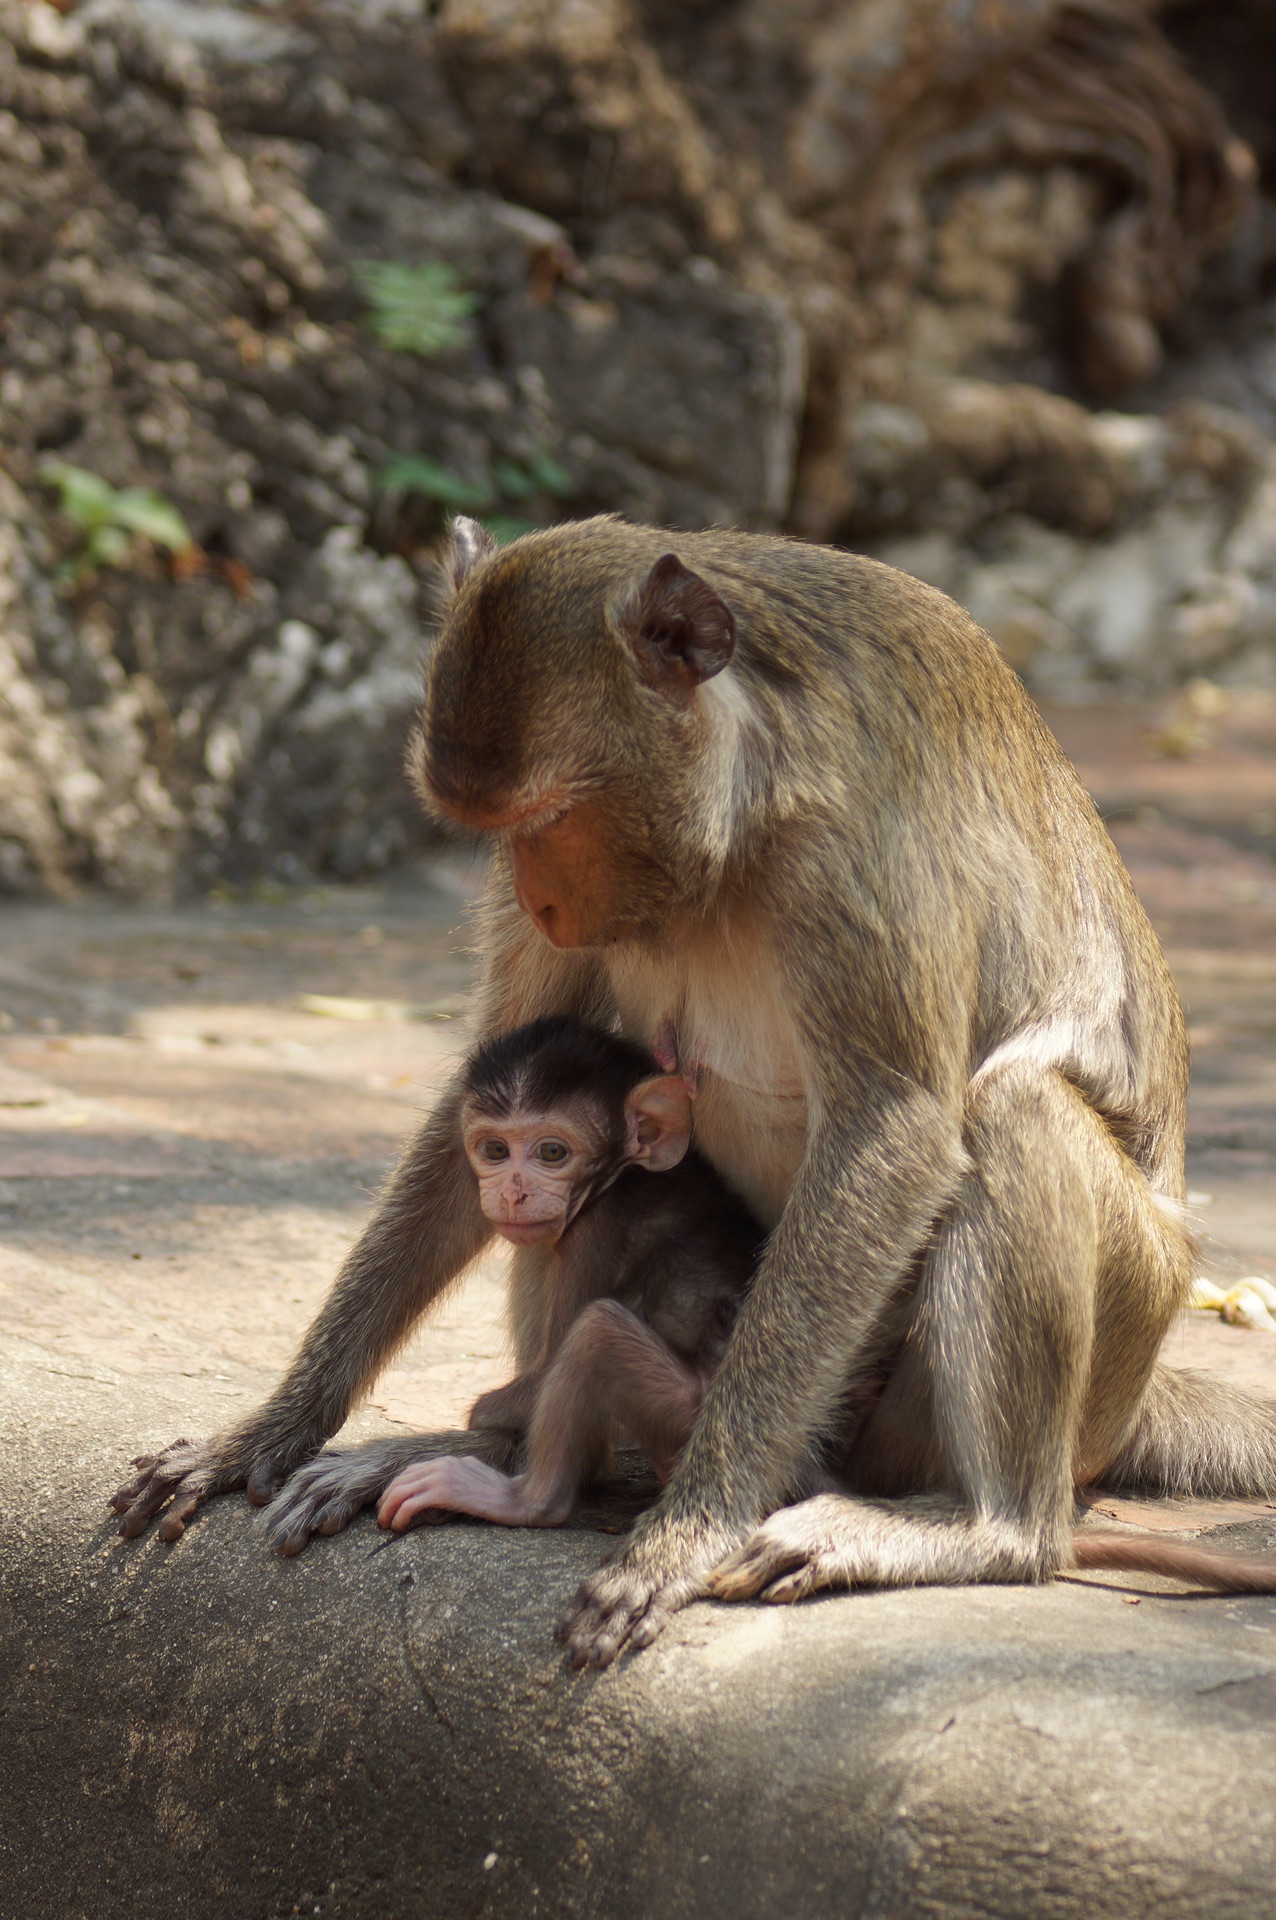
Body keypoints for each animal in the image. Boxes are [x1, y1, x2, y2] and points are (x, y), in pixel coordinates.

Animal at [374, 1021, 759, 1528]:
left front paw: (482, 1414)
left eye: (552, 1152)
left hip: (692, 1414)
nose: (513, 1192)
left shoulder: (592, 1233)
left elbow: (546, 1369)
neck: (619, 1175)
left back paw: (522, 1500)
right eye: (495, 1150)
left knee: (594, 1332)